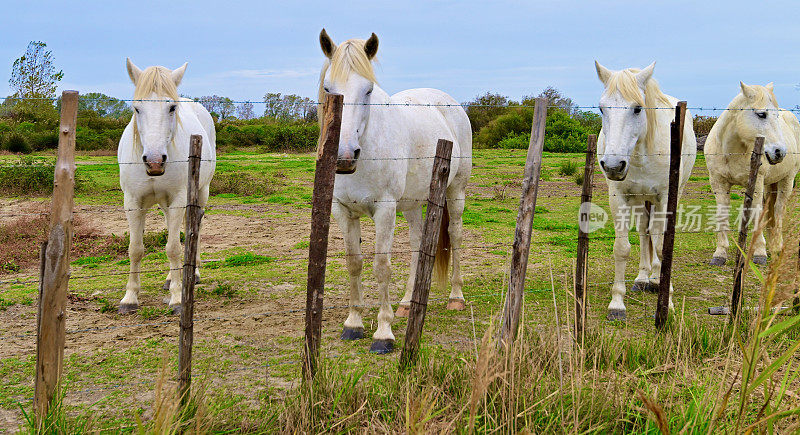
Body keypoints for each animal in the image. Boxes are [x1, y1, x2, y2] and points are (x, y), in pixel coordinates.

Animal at [115, 59, 216, 316]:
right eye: (136, 108)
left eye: (171, 108)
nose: (154, 161)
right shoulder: (132, 202)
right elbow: (135, 248)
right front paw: (129, 298)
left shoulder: (179, 198)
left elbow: (173, 248)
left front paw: (178, 299)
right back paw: (171, 279)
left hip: (200, 193)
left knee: (193, 228)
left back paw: (192, 273)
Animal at [318, 29, 472, 352]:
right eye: (328, 89)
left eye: (368, 91)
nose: (345, 155)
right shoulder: (343, 211)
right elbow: (354, 263)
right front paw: (353, 324)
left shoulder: (385, 210)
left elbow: (381, 266)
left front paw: (383, 333)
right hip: (413, 204)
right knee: (416, 243)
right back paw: (407, 303)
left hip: (456, 191)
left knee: (455, 236)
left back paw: (456, 297)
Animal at [592, 62, 692, 320]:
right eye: (601, 109)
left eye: (638, 108)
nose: (613, 165)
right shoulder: (619, 198)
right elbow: (622, 248)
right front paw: (617, 303)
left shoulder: (666, 198)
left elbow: (662, 245)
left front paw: (667, 300)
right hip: (640, 200)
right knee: (645, 231)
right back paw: (643, 278)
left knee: (656, 235)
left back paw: (657, 279)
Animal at [708, 82, 800, 266]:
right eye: (761, 114)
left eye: (776, 116)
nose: (780, 152)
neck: (731, 152)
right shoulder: (718, 183)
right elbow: (722, 214)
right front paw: (720, 254)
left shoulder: (756, 183)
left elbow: (757, 214)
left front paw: (759, 253)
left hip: (787, 180)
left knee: (778, 210)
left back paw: (777, 247)